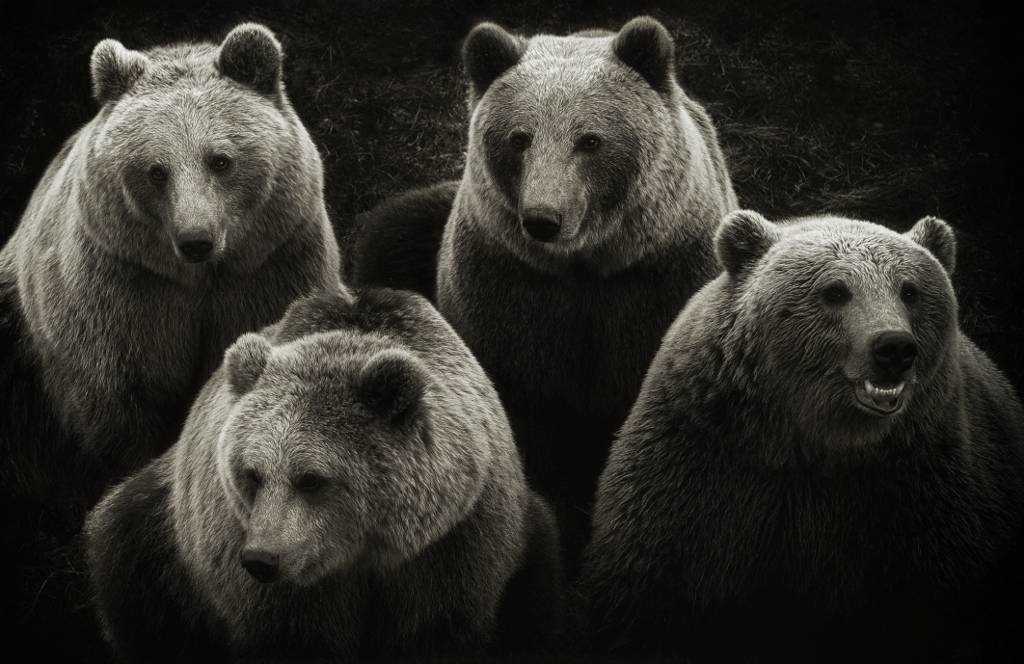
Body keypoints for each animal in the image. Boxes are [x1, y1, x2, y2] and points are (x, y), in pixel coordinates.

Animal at [84, 287, 562, 662]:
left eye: (311, 478)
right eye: (251, 474)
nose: (261, 559)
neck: (362, 555)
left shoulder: (453, 544)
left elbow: (437, 627)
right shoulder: (268, 578)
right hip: (162, 543)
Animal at [429, 16, 739, 575]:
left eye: (590, 139)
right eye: (519, 137)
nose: (543, 219)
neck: (585, 267)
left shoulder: (657, 285)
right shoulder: (509, 294)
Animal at [578, 211, 1024, 662]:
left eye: (910, 290)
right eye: (835, 290)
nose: (894, 348)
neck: (814, 443)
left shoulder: (921, 491)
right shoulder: (701, 466)